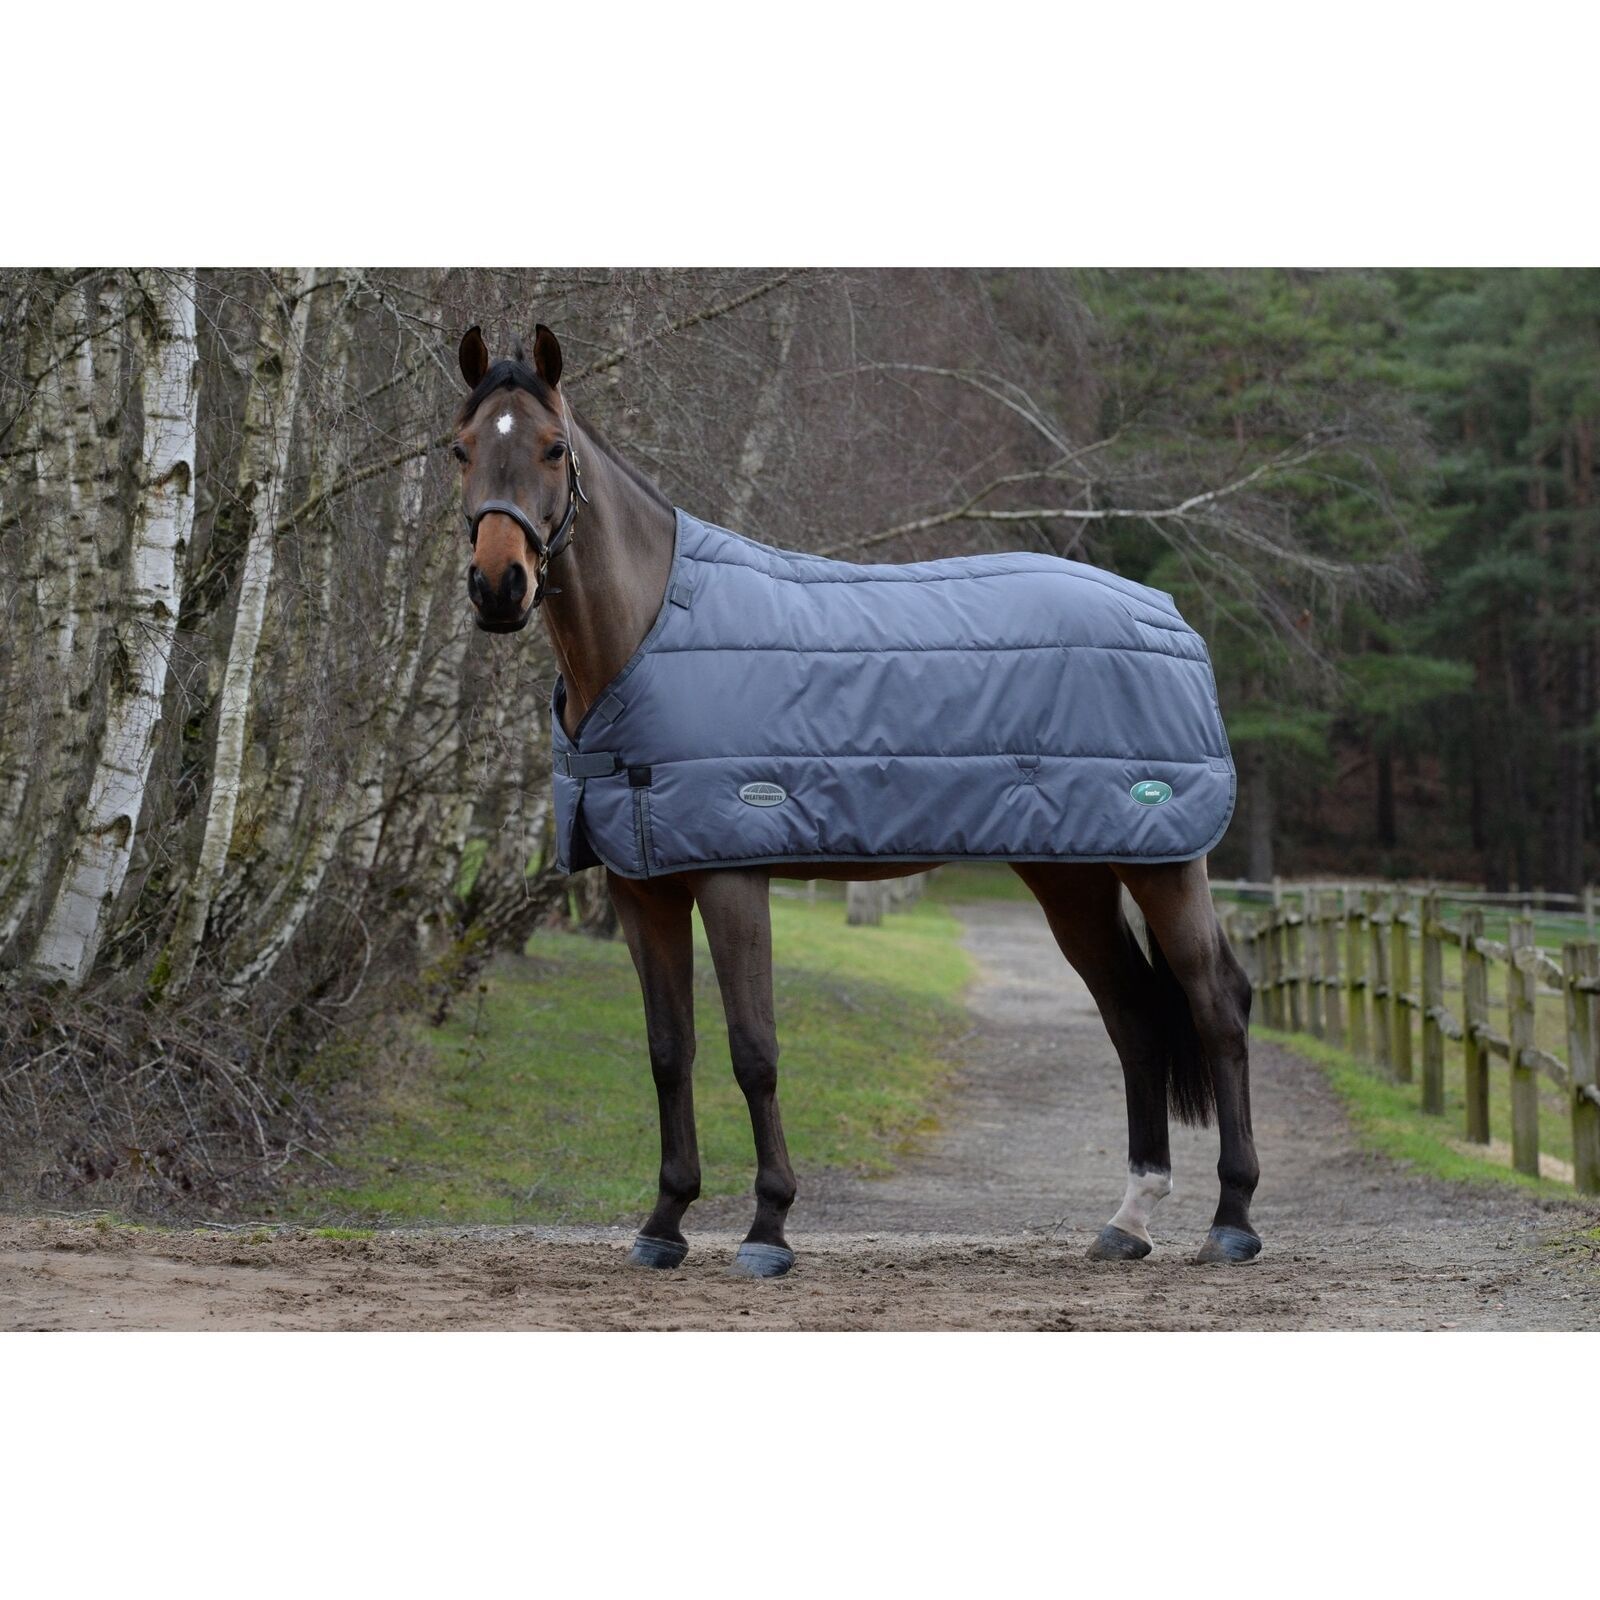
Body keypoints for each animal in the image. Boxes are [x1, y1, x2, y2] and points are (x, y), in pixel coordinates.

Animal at [450, 322, 1260, 1277]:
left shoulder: (732, 872)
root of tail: (1170, 618)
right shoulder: (642, 884)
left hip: (1165, 861)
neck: (650, 635)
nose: (499, 586)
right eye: (461, 449)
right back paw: (1128, 1220)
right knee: (1132, 1013)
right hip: (1074, 873)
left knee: (1216, 1005)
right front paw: (664, 1224)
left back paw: (1232, 1222)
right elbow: (668, 1052)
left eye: (552, 447)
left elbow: (754, 1050)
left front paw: (767, 1229)